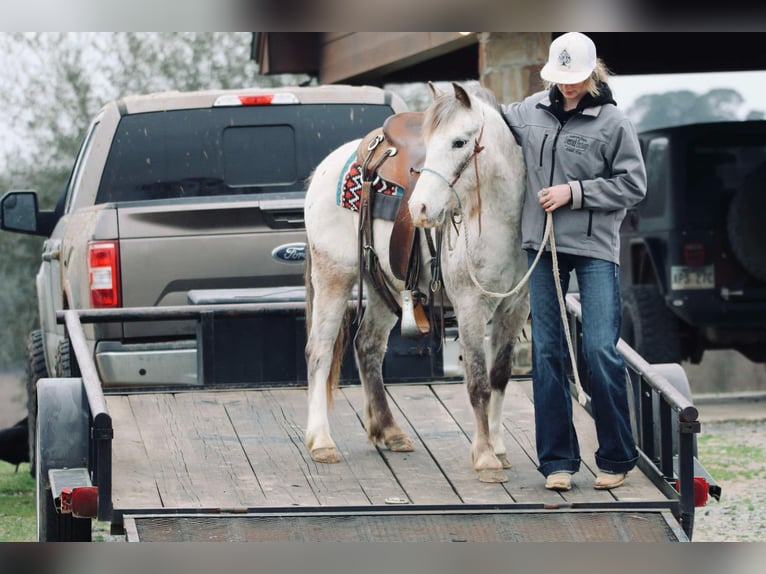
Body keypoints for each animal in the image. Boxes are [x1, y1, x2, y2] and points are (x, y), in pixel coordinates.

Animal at [304, 81, 532, 484]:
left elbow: (500, 375)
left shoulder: (515, 306)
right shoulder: (471, 306)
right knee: (320, 350)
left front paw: (499, 448)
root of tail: (325, 168)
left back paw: (389, 431)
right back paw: (321, 441)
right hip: (333, 275)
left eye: (459, 142)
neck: (497, 219)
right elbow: (477, 380)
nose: (419, 209)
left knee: (367, 346)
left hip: (383, 284)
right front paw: (485, 456)